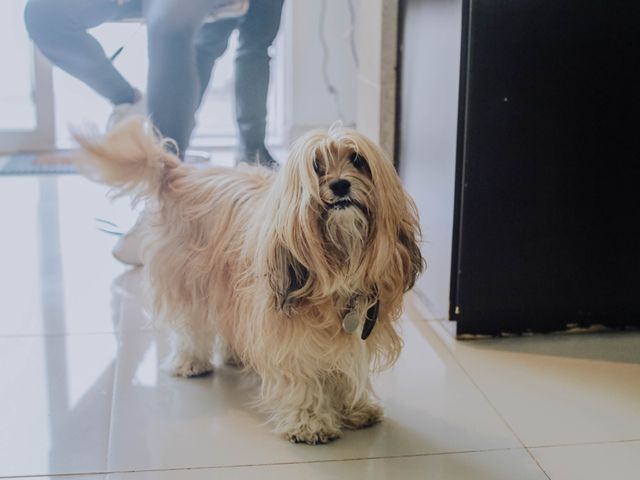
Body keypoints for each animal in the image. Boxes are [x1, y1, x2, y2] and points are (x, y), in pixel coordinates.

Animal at [76, 119, 424, 442]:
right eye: (316, 166)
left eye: (357, 159)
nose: (340, 185)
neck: (339, 264)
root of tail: (183, 174)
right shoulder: (285, 329)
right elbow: (299, 373)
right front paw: (308, 420)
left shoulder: (357, 326)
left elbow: (346, 364)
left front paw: (354, 407)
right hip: (189, 281)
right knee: (192, 325)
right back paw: (191, 361)